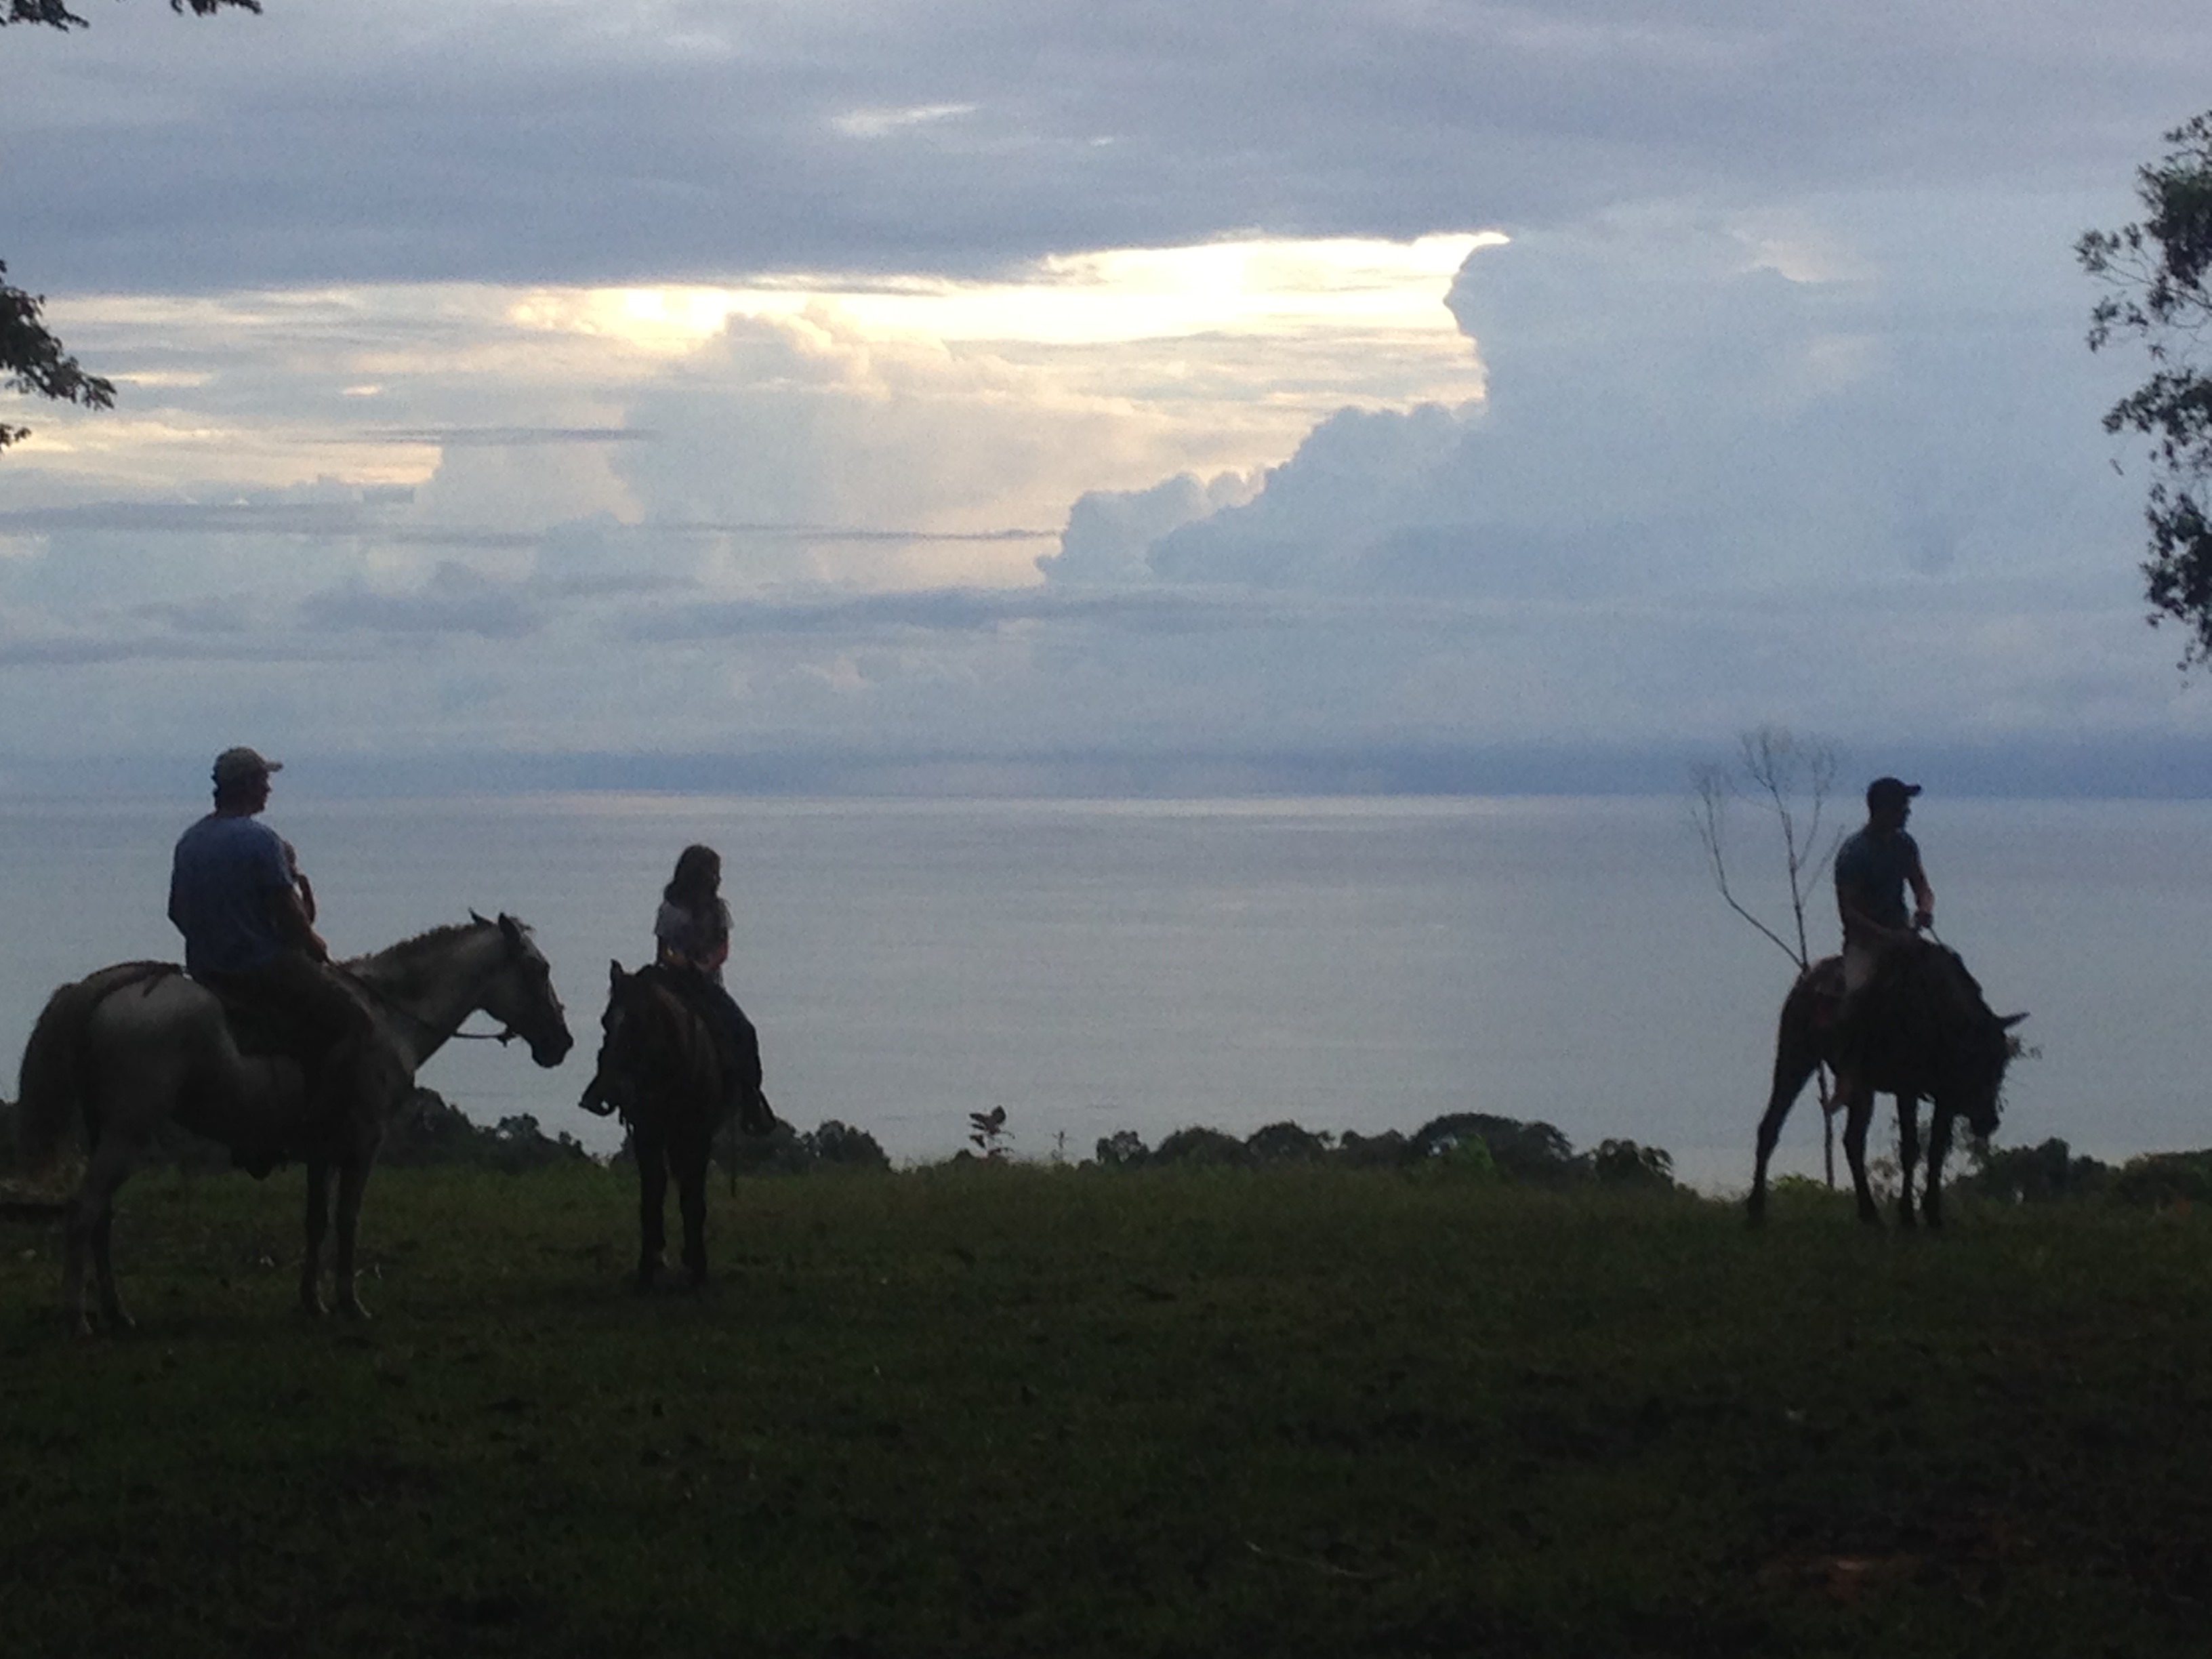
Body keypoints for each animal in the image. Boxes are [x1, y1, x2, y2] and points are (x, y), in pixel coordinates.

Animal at [14, 913, 572, 1330]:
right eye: (538, 967)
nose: (561, 1043)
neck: (389, 1017)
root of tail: (110, 987)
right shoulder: (364, 1142)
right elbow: (347, 1220)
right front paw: (349, 1302)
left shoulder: (321, 1151)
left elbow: (315, 1221)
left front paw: (312, 1301)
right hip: (127, 1134)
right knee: (84, 1211)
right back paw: (77, 1317)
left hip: (106, 1133)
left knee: (102, 1219)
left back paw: (116, 1312)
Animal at [579, 961, 770, 1289]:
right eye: (606, 1022)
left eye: (638, 1023)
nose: (614, 1089)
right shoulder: (647, 1134)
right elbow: (653, 1194)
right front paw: (649, 1266)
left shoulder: (699, 1135)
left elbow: (693, 1197)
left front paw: (698, 1267)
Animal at [1747, 943, 2025, 1229]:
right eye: (1972, 1059)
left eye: (2002, 1062)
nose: (1988, 1121)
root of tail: (1804, 981)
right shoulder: (1908, 1088)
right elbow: (1910, 1148)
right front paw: (1907, 1216)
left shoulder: (1944, 1098)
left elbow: (1937, 1150)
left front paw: (1933, 1215)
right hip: (1796, 1056)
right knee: (1771, 1126)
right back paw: (1756, 1209)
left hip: (1859, 1084)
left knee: (1852, 1140)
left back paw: (1870, 1213)